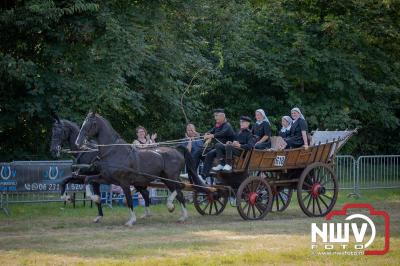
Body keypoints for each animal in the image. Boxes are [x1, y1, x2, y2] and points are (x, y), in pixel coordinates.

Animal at [74, 111, 202, 225]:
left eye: (92, 123)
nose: (78, 143)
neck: (113, 152)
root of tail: (176, 150)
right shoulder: (106, 178)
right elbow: (87, 179)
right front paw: (96, 198)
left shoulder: (124, 183)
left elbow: (129, 200)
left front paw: (131, 221)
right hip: (166, 179)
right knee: (180, 193)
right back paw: (182, 216)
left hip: (171, 177)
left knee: (180, 187)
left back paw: (171, 206)